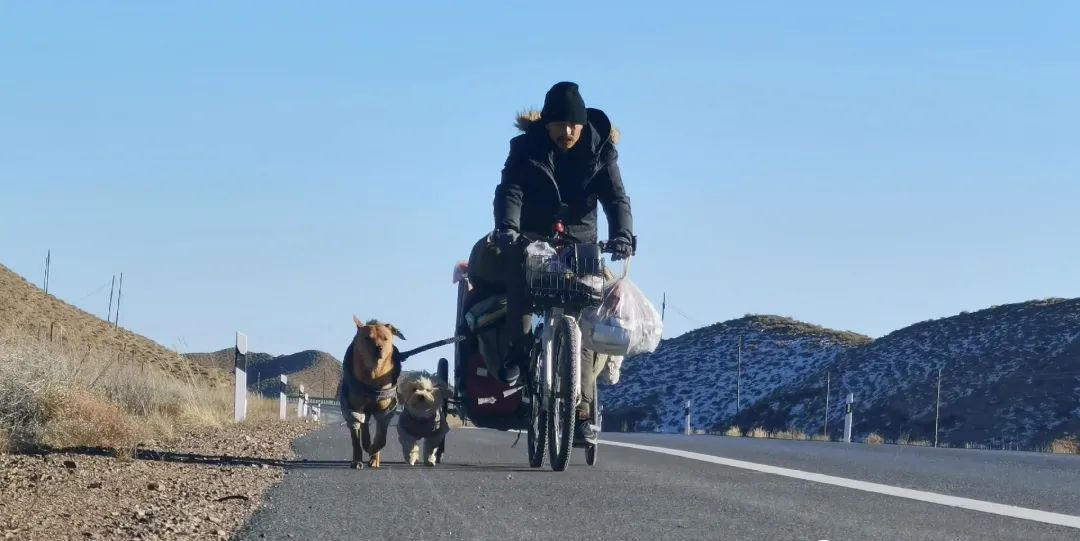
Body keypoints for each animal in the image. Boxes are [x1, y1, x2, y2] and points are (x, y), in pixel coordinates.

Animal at [338, 315, 405, 470]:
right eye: (367, 338)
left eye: (385, 338)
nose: (378, 348)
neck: (374, 373)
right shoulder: (354, 409)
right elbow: (355, 438)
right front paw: (357, 460)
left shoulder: (385, 410)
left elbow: (381, 438)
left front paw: (374, 454)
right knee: (363, 424)